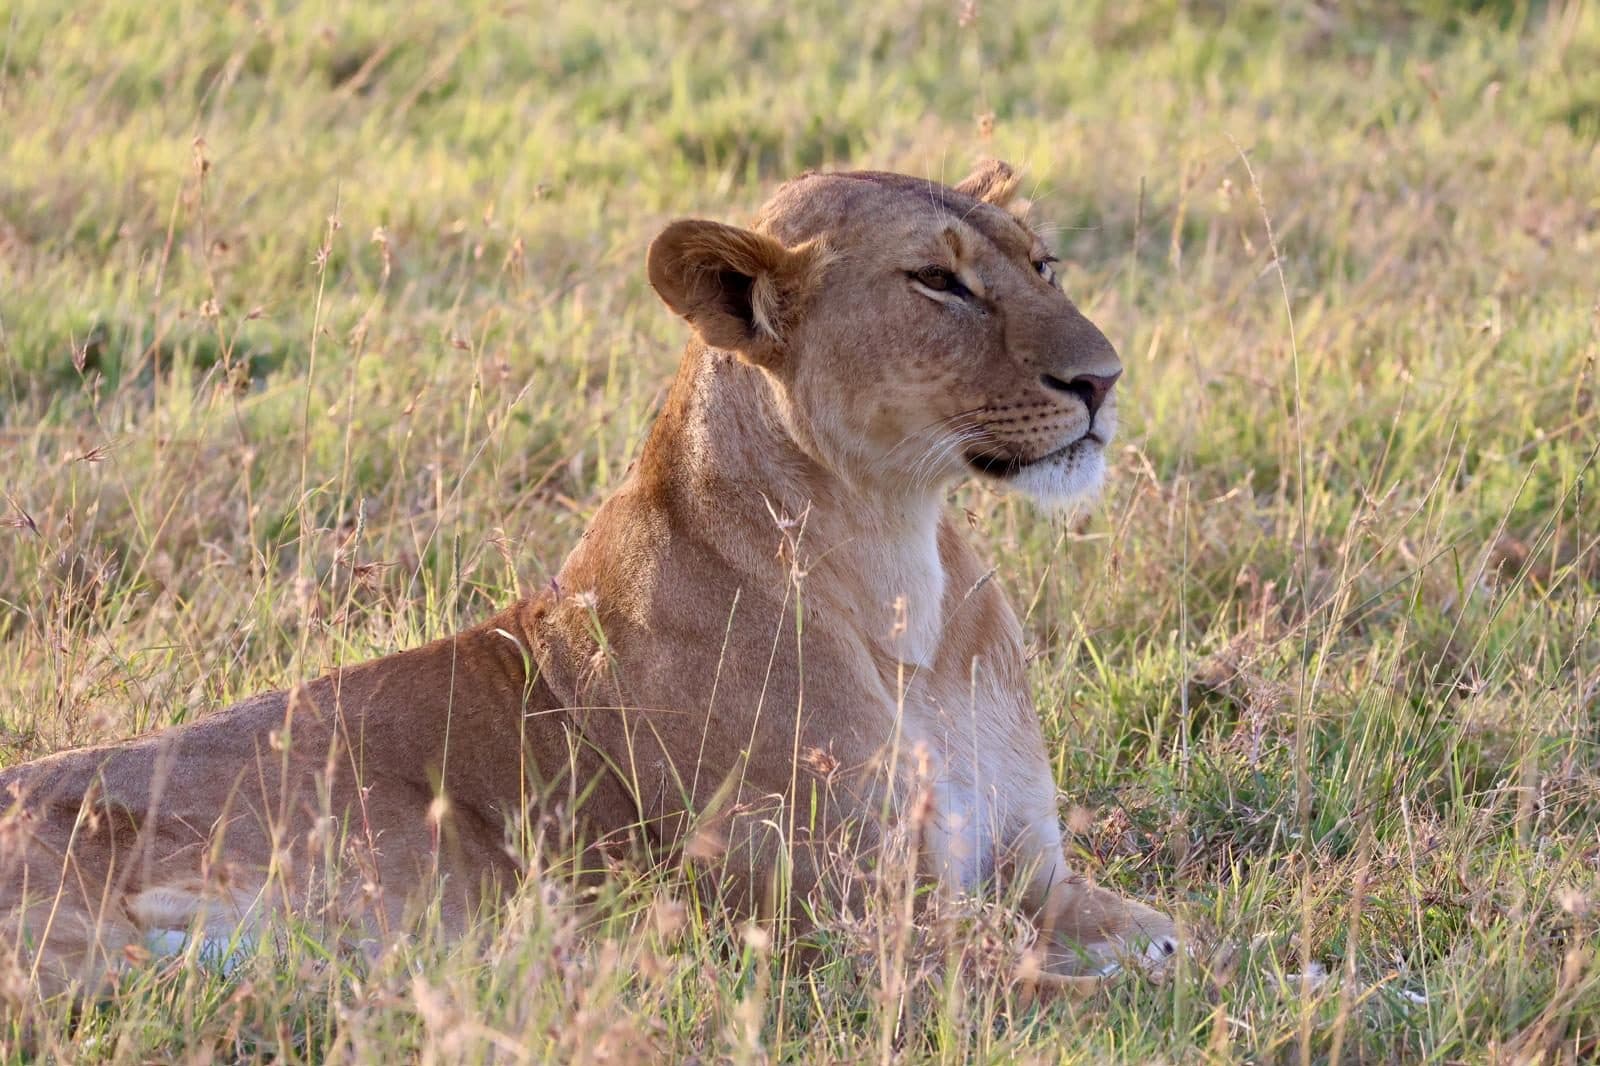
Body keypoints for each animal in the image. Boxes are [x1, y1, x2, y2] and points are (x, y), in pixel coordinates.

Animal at [0, 161, 1176, 998]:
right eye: (937, 282)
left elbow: (1170, 937)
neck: (899, 563)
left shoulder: (1031, 873)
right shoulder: (853, 923)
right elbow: (1067, 984)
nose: (1104, 379)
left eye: (1044, 264)